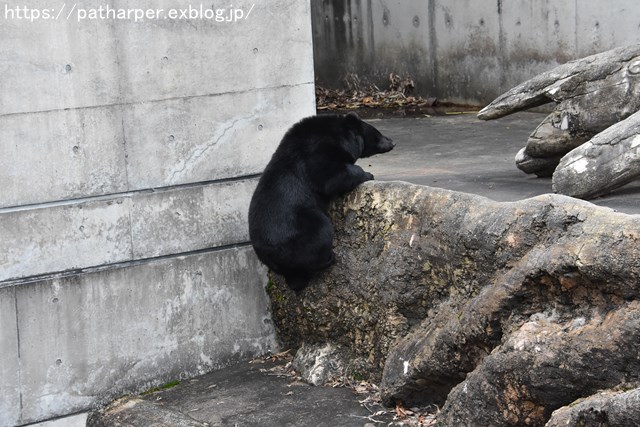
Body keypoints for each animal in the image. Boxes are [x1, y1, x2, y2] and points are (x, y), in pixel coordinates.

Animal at [249, 112, 396, 290]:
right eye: (377, 133)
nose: (392, 142)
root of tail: (270, 256)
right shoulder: (316, 152)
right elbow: (330, 176)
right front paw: (367, 174)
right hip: (301, 230)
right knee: (320, 232)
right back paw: (329, 258)